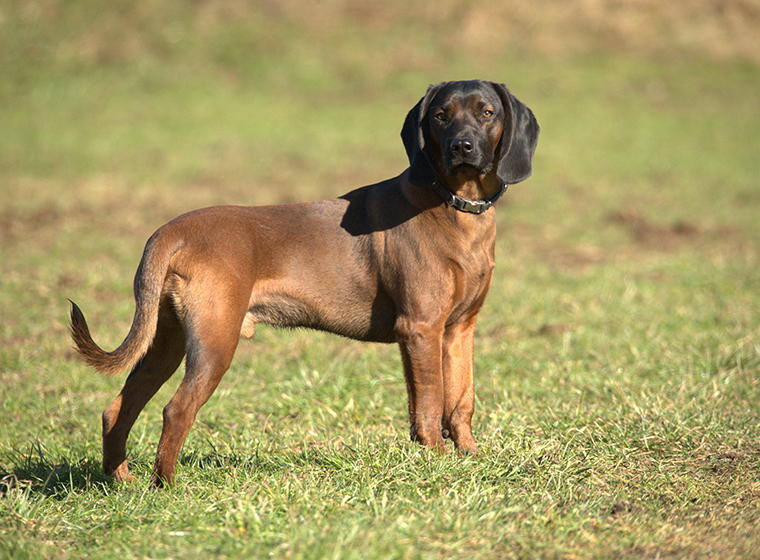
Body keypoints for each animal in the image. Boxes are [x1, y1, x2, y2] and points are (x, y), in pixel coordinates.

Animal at [68, 80, 536, 486]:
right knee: (176, 410)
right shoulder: (420, 329)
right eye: (440, 116)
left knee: (118, 408)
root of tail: (172, 232)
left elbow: (461, 399)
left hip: (166, 340)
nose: (462, 147)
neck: (454, 206)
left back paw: (121, 479)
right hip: (213, 342)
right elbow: (430, 402)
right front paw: (436, 459)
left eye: (487, 113)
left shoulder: (459, 330)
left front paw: (470, 456)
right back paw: (166, 487)